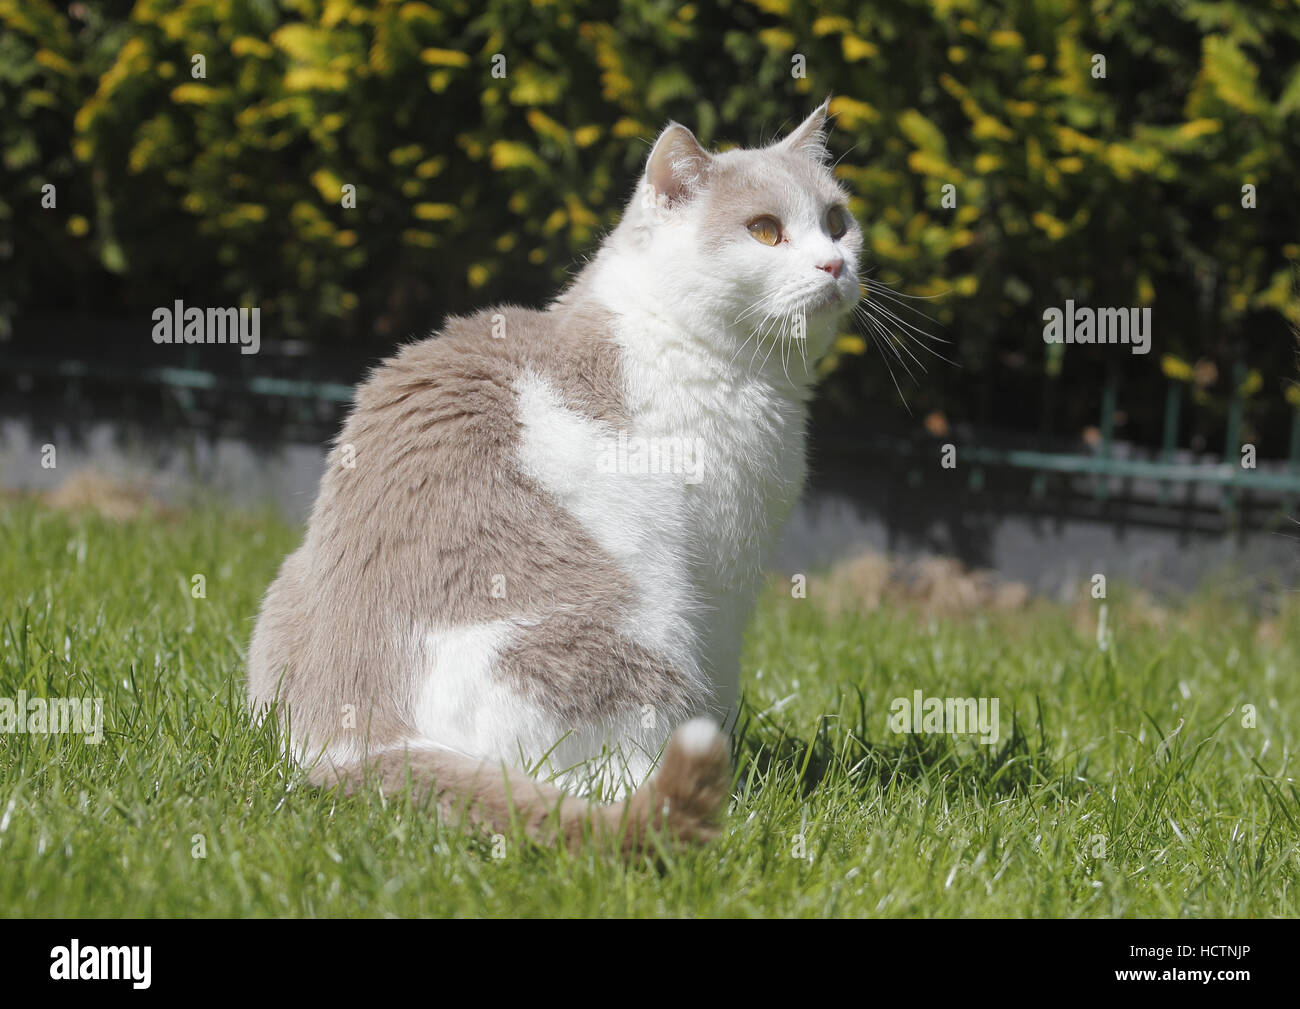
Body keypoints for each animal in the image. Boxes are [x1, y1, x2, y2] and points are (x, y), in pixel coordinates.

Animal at [250, 102, 863, 852]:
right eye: (765, 231)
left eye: (836, 220)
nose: (835, 262)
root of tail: (358, 743)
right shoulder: (723, 583)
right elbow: (720, 690)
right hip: (641, 638)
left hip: (286, 583)